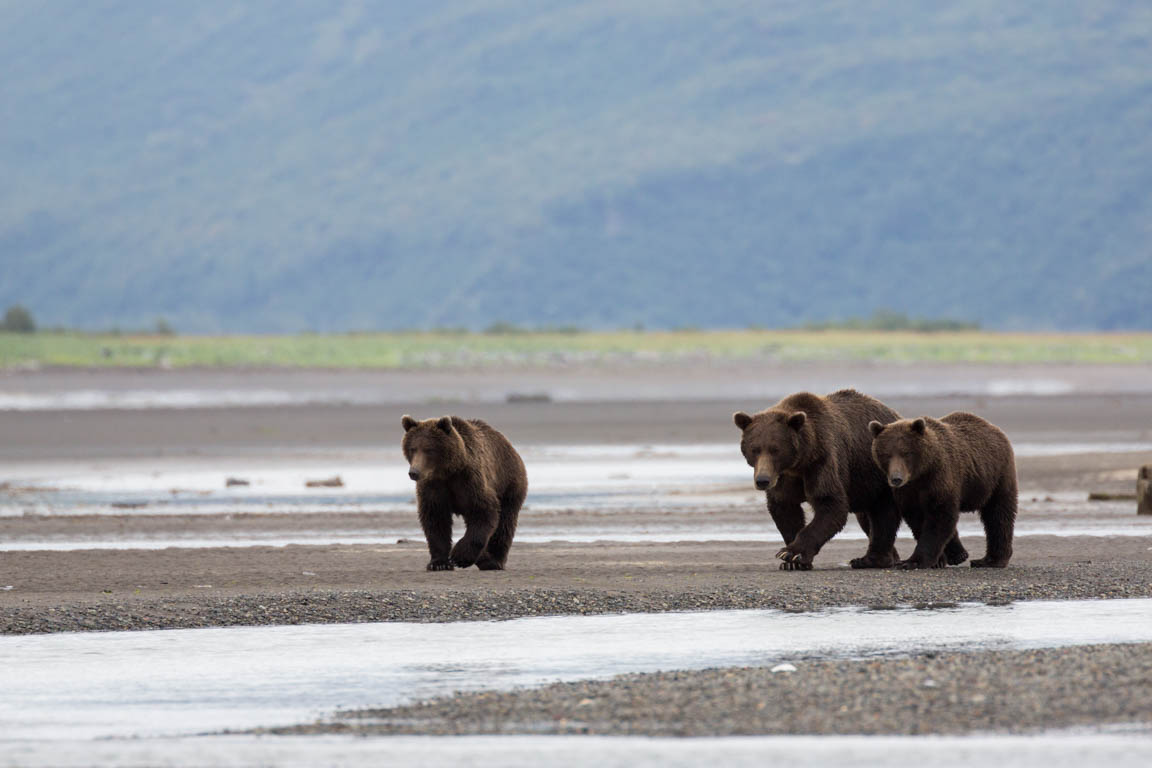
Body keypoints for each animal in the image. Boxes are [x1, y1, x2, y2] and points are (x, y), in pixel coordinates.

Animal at [400, 414, 527, 571]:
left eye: (429, 449)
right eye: (412, 448)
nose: (414, 472)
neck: (447, 472)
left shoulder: (469, 481)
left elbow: (484, 511)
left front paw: (459, 556)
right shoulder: (433, 487)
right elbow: (435, 520)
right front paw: (439, 563)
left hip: (509, 483)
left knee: (505, 521)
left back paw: (493, 561)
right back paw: (483, 558)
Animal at [737, 391, 907, 571]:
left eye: (775, 449)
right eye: (754, 449)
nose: (762, 480)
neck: (800, 462)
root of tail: (897, 416)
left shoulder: (822, 462)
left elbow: (830, 505)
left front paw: (793, 553)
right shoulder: (784, 478)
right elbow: (784, 508)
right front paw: (792, 562)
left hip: (879, 477)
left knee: (882, 515)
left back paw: (871, 559)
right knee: (866, 519)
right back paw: (885, 558)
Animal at [866, 414, 1018, 571]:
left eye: (906, 453)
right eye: (886, 454)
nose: (896, 478)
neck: (921, 474)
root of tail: (993, 427)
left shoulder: (940, 479)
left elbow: (939, 519)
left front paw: (912, 561)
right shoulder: (908, 492)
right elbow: (917, 519)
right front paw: (941, 559)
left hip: (996, 475)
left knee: (998, 514)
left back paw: (991, 560)